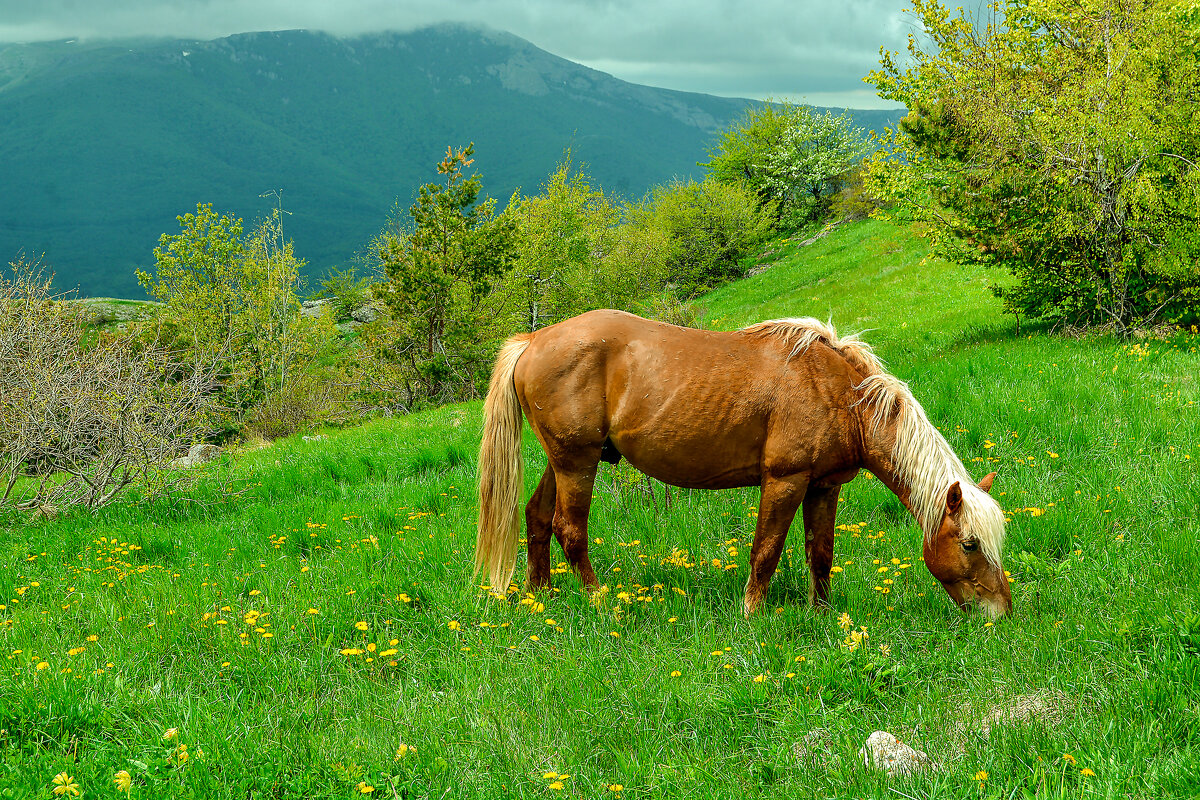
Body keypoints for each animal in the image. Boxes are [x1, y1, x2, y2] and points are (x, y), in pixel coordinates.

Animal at [472, 309, 1008, 618]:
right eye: (969, 543)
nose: (999, 611)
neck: (837, 391)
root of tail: (533, 340)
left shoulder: (824, 486)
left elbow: (820, 553)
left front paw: (822, 615)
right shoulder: (785, 481)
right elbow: (766, 551)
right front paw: (752, 615)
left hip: (563, 459)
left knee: (538, 517)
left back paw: (541, 598)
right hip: (576, 462)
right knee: (570, 530)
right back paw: (601, 601)